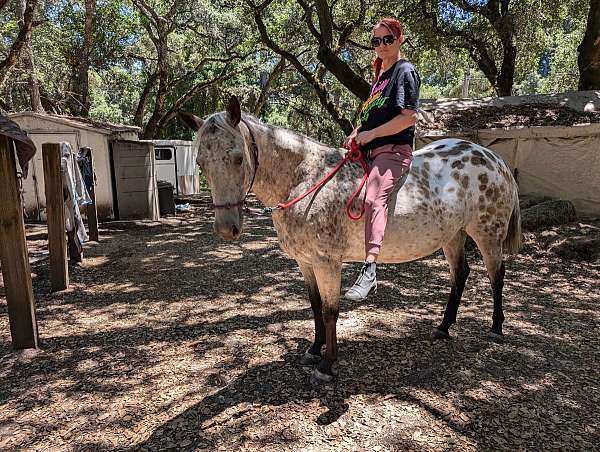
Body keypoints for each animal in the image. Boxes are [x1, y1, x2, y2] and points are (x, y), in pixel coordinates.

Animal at [178, 97, 520, 386]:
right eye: (201, 162)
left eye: (238, 158)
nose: (227, 229)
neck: (306, 178)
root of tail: (494, 159)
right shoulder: (305, 262)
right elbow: (315, 306)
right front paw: (314, 349)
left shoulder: (327, 261)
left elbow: (331, 310)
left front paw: (327, 365)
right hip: (452, 235)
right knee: (460, 275)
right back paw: (444, 327)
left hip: (487, 234)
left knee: (496, 276)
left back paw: (496, 328)